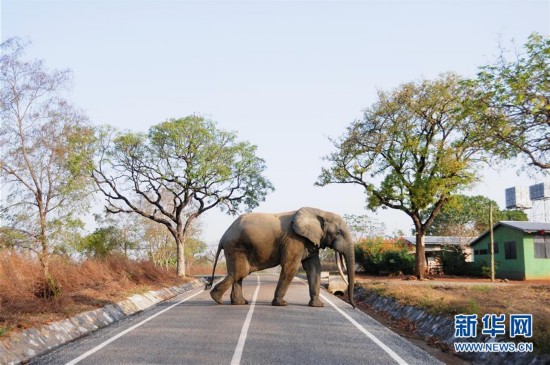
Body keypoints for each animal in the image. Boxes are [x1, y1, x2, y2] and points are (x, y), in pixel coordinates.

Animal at [207, 205, 358, 308]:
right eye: (338, 233)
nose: (353, 306)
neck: (320, 211)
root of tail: (223, 236)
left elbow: (314, 268)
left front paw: (318, 306)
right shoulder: (294, 239)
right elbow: (291, 266)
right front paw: (281, 304)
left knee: (239, 274)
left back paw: (239, 302)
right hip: (236, 247)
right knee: (239, 272)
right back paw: (217, 299)